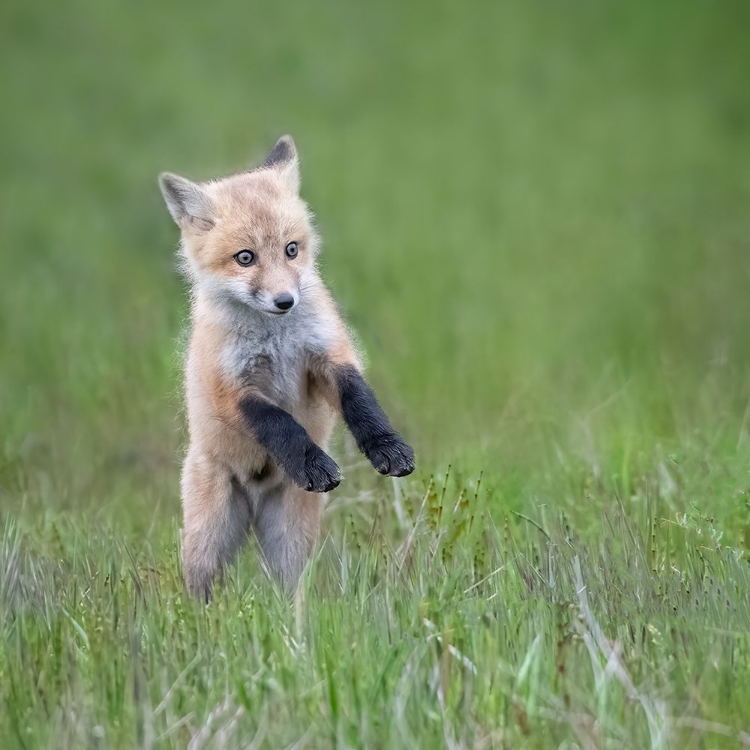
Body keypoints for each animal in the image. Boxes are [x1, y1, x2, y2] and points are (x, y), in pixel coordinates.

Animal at [160, 138, 418, 604]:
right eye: (245, 258)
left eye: (291, 249)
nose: (285, 301)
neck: (274, 338)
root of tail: (256, 498)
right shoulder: (231, 390)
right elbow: (278, 422)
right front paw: (312, 463)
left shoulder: (328, 357)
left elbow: (361, 402)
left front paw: (388, 448)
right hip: (209, 539)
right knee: (202, 586)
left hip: (290, 538)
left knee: (289, 588)